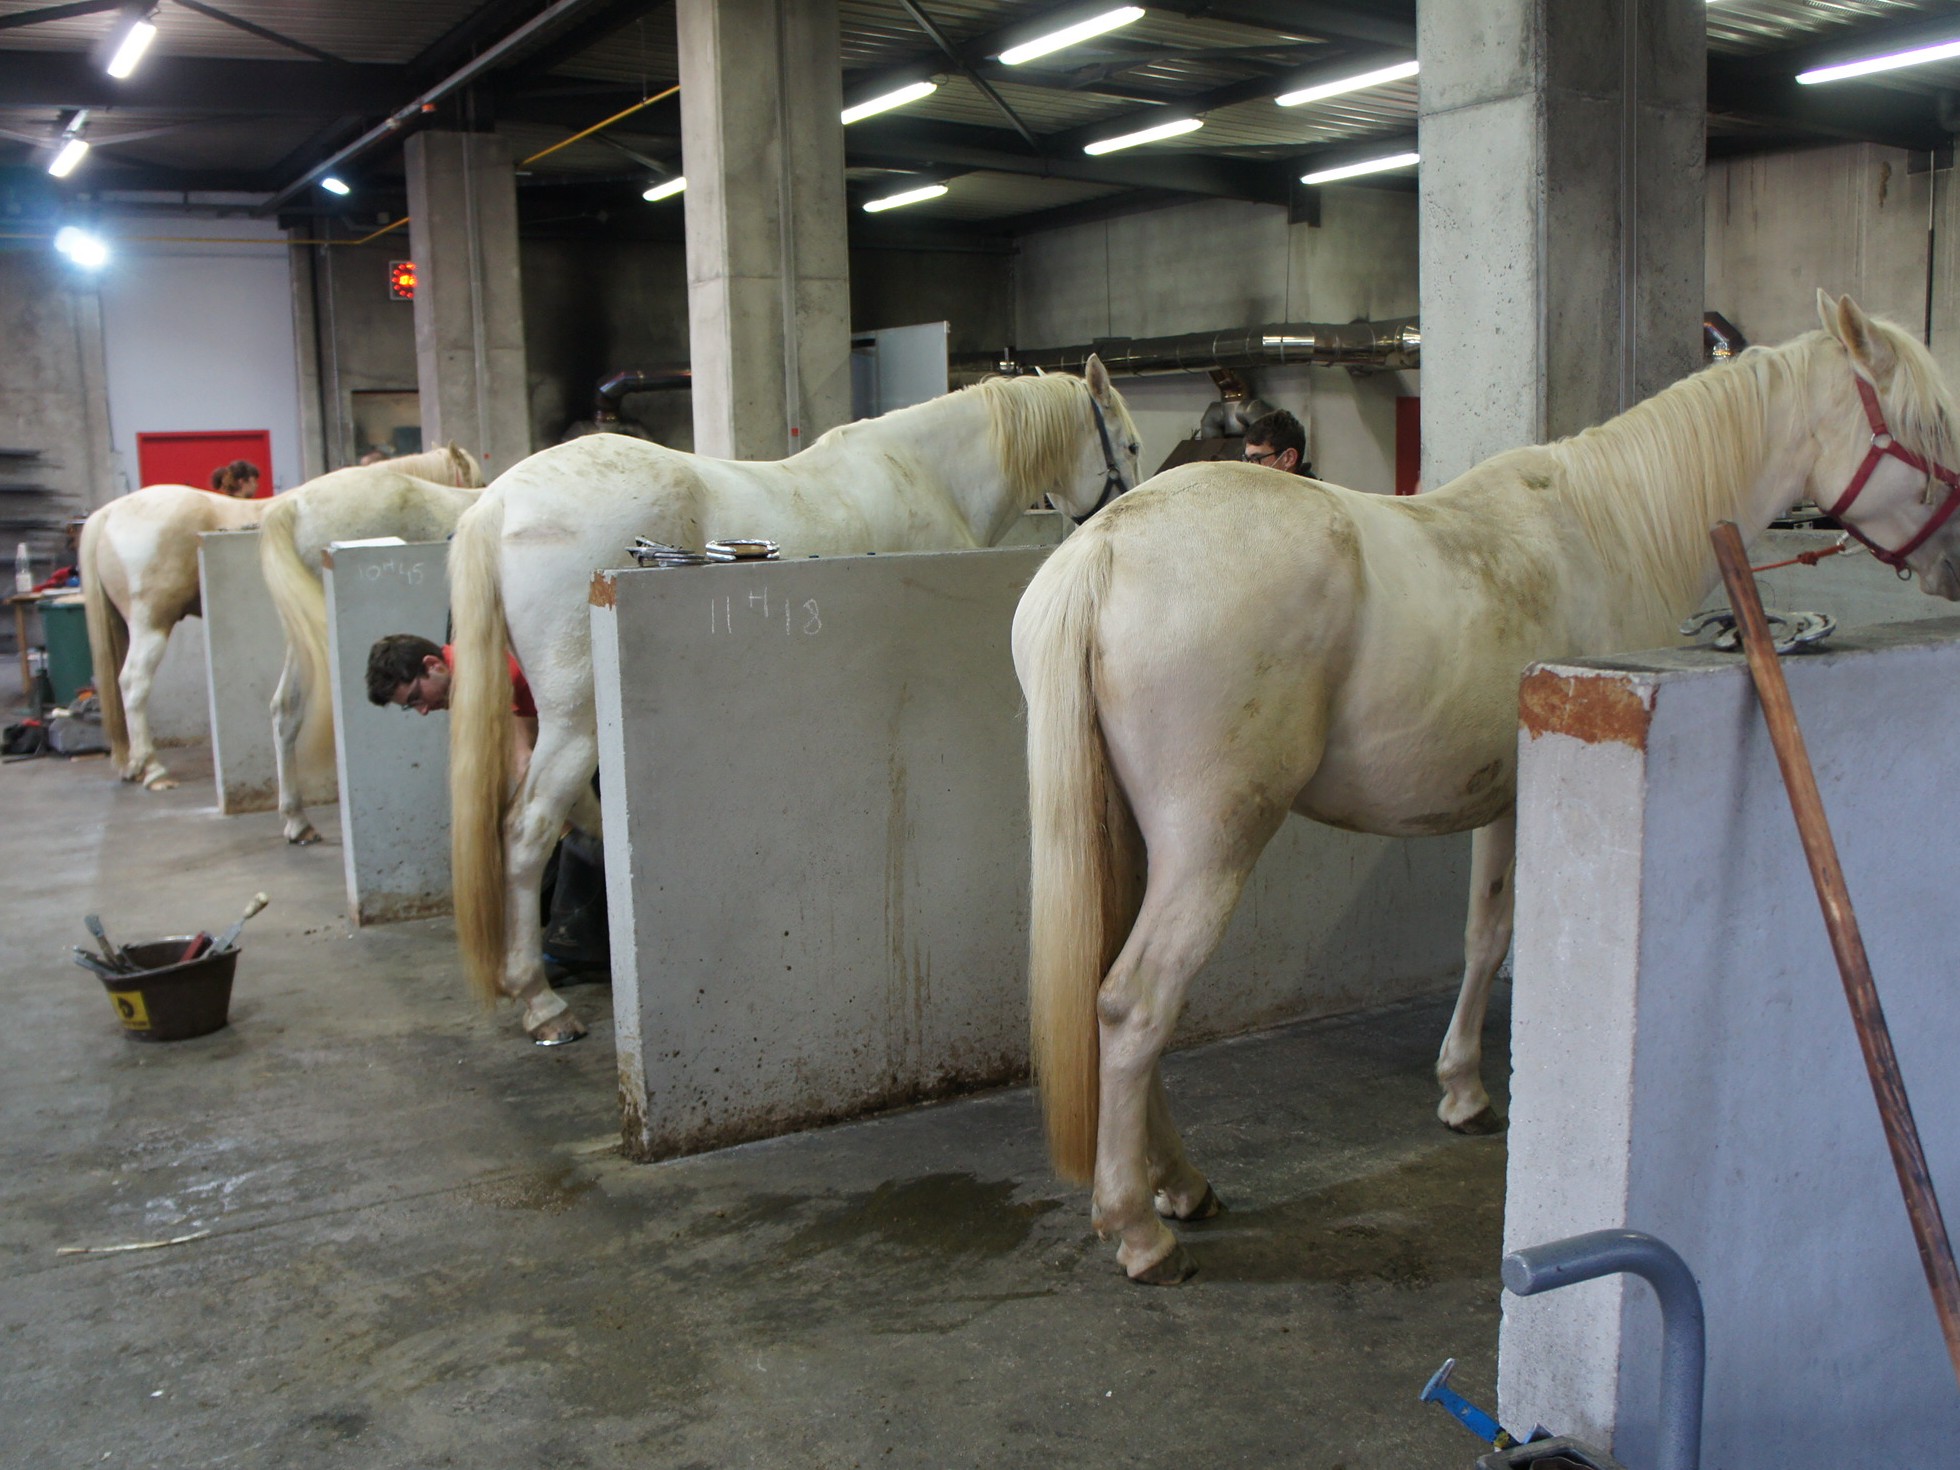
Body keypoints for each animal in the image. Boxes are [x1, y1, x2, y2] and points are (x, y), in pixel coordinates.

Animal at [448, 356, 1144, 1050]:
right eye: (1132, 446)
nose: (1127, 513)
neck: (929, 473)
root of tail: (499, 500)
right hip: (575, 721)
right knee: (527, 829)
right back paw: (541, 1003)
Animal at [1019, 294, 1960, 1285]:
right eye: (1927, 425)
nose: (1958, 560)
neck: (1608, 525)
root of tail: (1107, 545)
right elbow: (1497, 937)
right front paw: (1470, 1094)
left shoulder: (1498, 796)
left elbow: (1480, 934)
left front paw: (1459, 1086)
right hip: (1212, 844)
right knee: (1135, 1005)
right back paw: (1140, 1229)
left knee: (1114, 998)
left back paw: (1179, 1183)